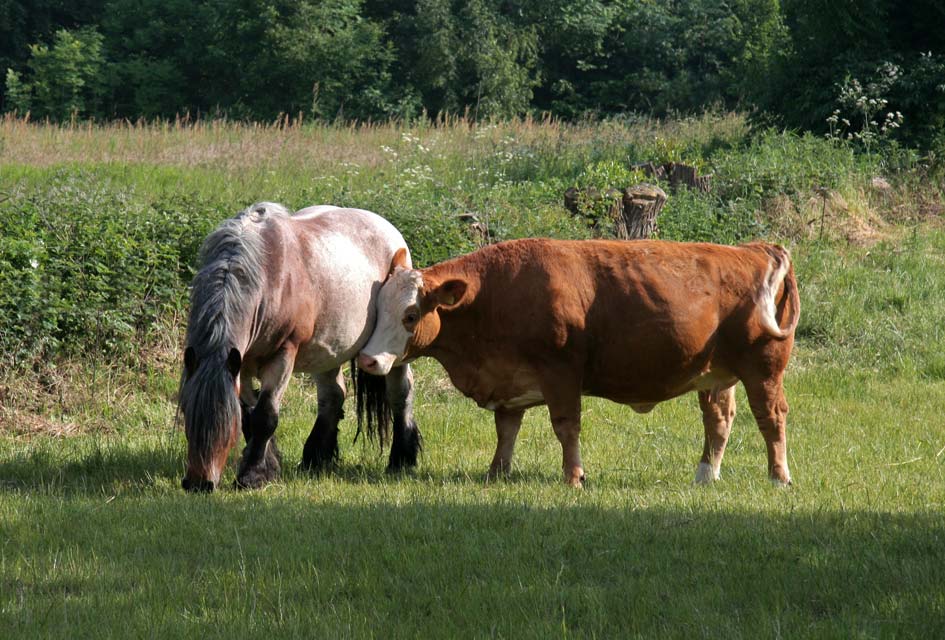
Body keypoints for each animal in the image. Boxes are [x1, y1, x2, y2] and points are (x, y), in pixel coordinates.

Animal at [180, 202, 420, 492]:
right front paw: (269, 466)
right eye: (186, 412)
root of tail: (388, 229)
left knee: (400, 393)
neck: (267, 277)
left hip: (392, 351)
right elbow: (251, 415)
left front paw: (252, 475)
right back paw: (316, 458)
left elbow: (265, 416)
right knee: (333, 396)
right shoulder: (241, 364)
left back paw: (401, 459)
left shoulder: (283, 355)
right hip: (328, 352)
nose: (198, 483)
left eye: (226, 422)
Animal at [358, 238, 800, 488]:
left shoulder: (561, 375)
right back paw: (706, 476)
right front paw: (496, 474)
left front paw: (573, 477)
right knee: (719, 421)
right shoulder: (508, 381)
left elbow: (566, 427)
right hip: (716, 376)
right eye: (376, 311)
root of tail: (757, 250)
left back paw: (779, 476)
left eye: (410, 315)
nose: (367, 358)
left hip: (764, 369)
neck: (495, 295)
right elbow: (506, 432)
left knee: (771, 417)